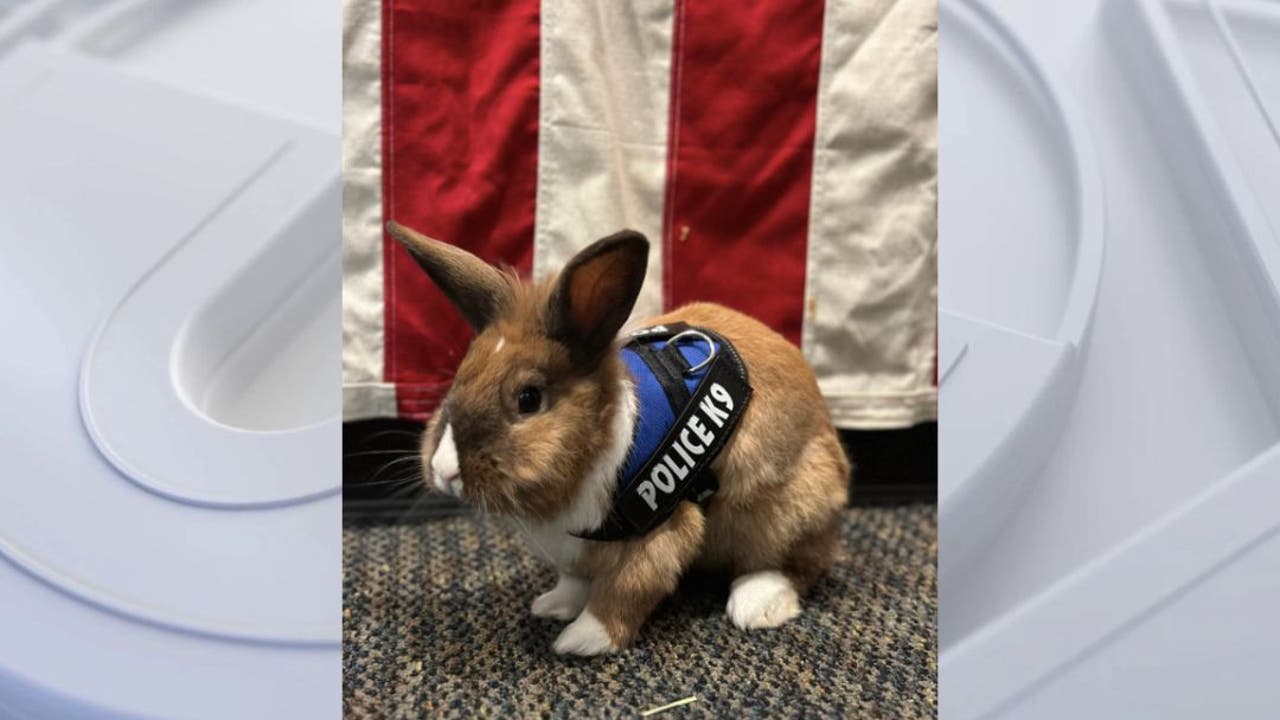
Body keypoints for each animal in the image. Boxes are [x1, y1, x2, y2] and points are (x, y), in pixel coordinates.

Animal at [389, 221, 849, 653]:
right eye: (460, 377)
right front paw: (552, 606)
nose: (444, 470)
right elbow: (574, 582)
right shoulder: (572, 550)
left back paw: (756, 604)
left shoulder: (660, 535)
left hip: (785, 510)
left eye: (528, 398)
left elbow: (625, 590)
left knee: (797, 563)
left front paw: (581, 639)